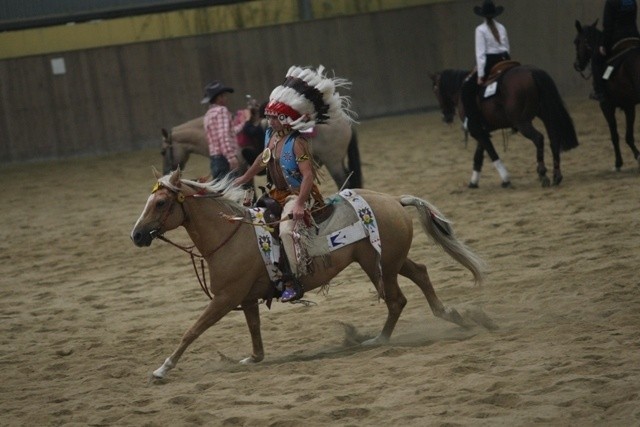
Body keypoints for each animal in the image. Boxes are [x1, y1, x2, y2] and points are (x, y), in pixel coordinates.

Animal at [130, 169, 490, 380]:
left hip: (379, 265)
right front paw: (253, 359)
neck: (232, 234)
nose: (137, 235)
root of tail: (394, 200)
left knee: (397, 300)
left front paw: (163, 367)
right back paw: (452, 316)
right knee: (421, 274)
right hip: (392, 260)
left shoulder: (225, 298)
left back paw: (379, 338)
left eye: (160, 202)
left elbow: (192, 330)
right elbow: (254, 332)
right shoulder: (245, 299)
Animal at [430, 66, 580, 186]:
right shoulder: (483, 130)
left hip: (522, 122)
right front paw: (474, 181)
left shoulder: (476, 130)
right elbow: (479, 154)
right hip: (546, 115)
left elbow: (491, 152)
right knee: (554, 139)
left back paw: (542, 174)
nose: (445, 117)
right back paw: (557, 175)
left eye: (435, 89)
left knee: (538, 138)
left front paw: (505, 179)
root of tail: (531, 71)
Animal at [572, 19, 640, 171]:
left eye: (577, 41)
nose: (577, 65)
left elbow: (614, 135)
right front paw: (637, 155)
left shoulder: (606, 106)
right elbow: (629, 135)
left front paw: (618, 163)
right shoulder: (629, 105)